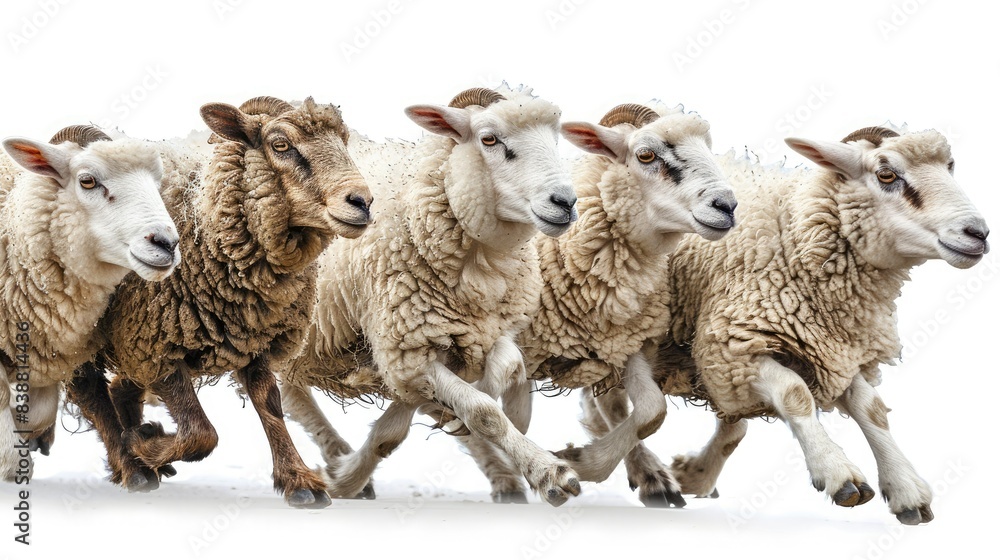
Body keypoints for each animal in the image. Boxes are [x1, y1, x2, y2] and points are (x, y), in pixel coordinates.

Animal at [65, 96, 373, 508]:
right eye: (280, 144)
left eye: (344, 140)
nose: (363, 201)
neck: (204, 225)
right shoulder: (156, 342)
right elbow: (201, 434)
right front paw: (143, 446)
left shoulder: (254, 339)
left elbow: (269, 404)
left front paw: (297, 480)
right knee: (93, 395)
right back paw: (133, 467)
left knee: (119, 390)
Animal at [280, 85, 586, 506]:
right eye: (489, 139)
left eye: (555, 138)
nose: (565, 202)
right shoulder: (408, 349)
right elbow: (484, 412)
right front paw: (548, 472)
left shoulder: (494, 329)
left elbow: (505, 375)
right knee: (291, 396)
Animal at [451, 102, 738, 505]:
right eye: (645, 154)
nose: (727, 206)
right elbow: (503, 413)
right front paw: (549, 469)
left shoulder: (627, 342)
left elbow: (651, 412)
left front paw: (582, 462)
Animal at [591, 126, 989, 524]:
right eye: (886, 174)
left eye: (950, 166)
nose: (979, 233)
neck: (795, 234)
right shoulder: (734, 345)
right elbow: (794, 393)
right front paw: (837, 472)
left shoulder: (835, 349)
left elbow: (872, 409)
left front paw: (906, 488)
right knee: (616, 403)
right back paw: (639, 472)